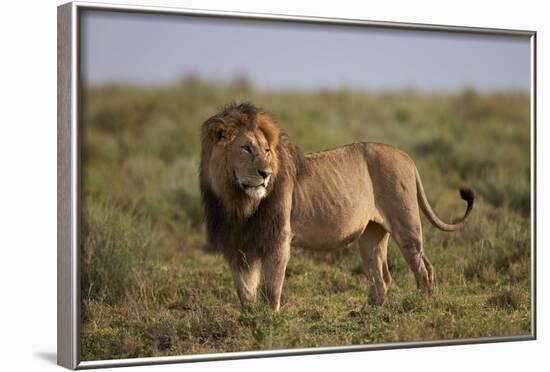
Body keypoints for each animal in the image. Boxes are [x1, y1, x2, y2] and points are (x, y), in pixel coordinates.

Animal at [201, 101, 476, 310]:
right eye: (246, 148)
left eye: (267, 150)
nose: (265, 174)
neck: (239, 201)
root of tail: (406, 156)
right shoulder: (235, 244)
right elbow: (244, 290)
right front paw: (248, 319)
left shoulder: (278, 239)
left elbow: (271, 289)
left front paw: (269, 320)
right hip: (371, 235)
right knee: (381, 277)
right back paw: (368, 313)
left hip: (406, 225)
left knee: (423, 268)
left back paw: (423, 306)